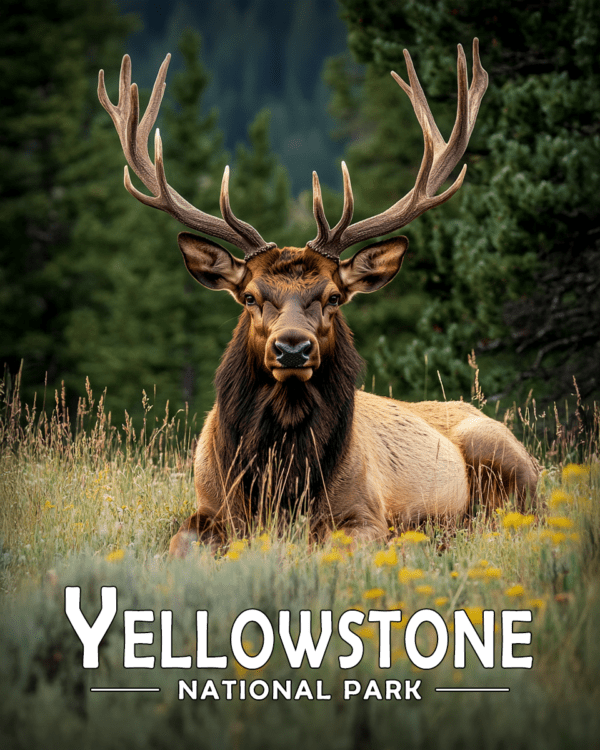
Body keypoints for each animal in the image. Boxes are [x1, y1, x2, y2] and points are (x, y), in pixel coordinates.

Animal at [98, 41, 540, 560]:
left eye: (332, 297)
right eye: (250, 296)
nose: (292, 347)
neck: (282, 483)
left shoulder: (367, 516)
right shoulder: (209, 506)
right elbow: (179, 545)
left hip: (506, 455)